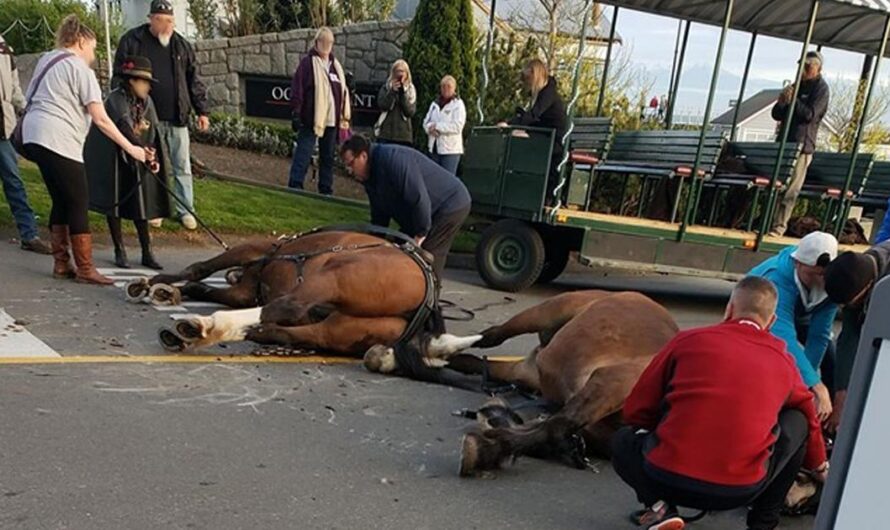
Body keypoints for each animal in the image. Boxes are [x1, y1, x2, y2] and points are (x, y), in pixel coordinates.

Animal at [125, 229, 478, 356]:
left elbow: (196, 270)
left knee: (288, 308)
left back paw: (206, 326)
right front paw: (166, 291)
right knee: (277, 329)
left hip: (333, 276)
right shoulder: (244, 292)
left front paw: (152, 284)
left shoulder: (254, 250)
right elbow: (202, 285)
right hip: (341, 329)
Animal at [364, 290, 676, 472]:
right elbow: (557, 425)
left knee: (474, 364)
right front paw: (487, 448)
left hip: (526, 370)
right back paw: (430, 348)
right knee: (490, 336)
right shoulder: (610, 382)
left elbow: (547, 431)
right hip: (543, 314)